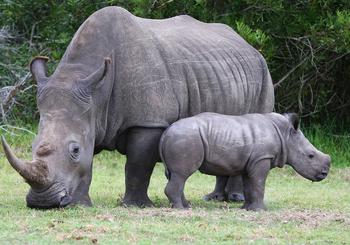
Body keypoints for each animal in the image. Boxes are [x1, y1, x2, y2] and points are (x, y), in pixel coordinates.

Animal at [1, 6, 274, 209]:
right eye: (33, 145)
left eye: (75, 150)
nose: (42, 202)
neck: (95, 95)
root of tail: (248, 46)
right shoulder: (89, 115)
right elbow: (87, 169)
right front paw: (81, 204)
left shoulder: (148, 121)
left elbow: (137, 165)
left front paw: (135, 205)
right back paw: (214, 199)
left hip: (263, 72)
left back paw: (234, 199)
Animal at [159, 113, 330, 211]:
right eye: (310, 156)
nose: (324, 173)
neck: (286, 135)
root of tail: (166, 132)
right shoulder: (262, 158)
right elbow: (259, 184)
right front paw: (261, 210)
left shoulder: (253, 161)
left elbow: (250, 186)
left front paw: (247, 209)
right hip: (186, 138)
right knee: (182, 174)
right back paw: (181, 209)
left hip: (182, 138)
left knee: (176, 175)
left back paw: (186, 206)